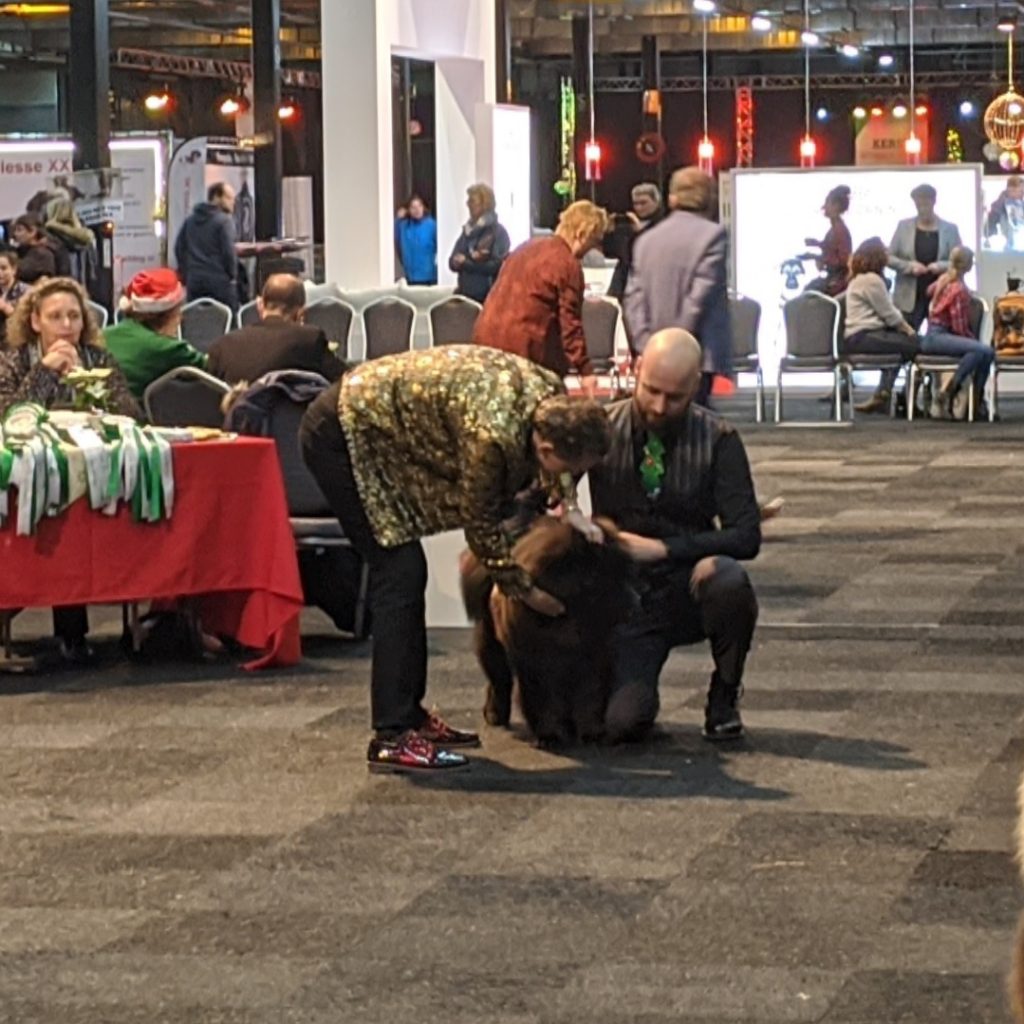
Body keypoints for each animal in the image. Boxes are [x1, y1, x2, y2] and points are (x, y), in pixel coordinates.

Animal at [458, 520, 630, 745]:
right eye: (606, 577)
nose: (636, 599)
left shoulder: (593, 661)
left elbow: (590, 697)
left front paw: (591, 732)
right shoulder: (536, 666)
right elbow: (543, 703)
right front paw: (551, 735)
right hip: (490, 646)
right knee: (499, 681)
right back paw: (495, 715)